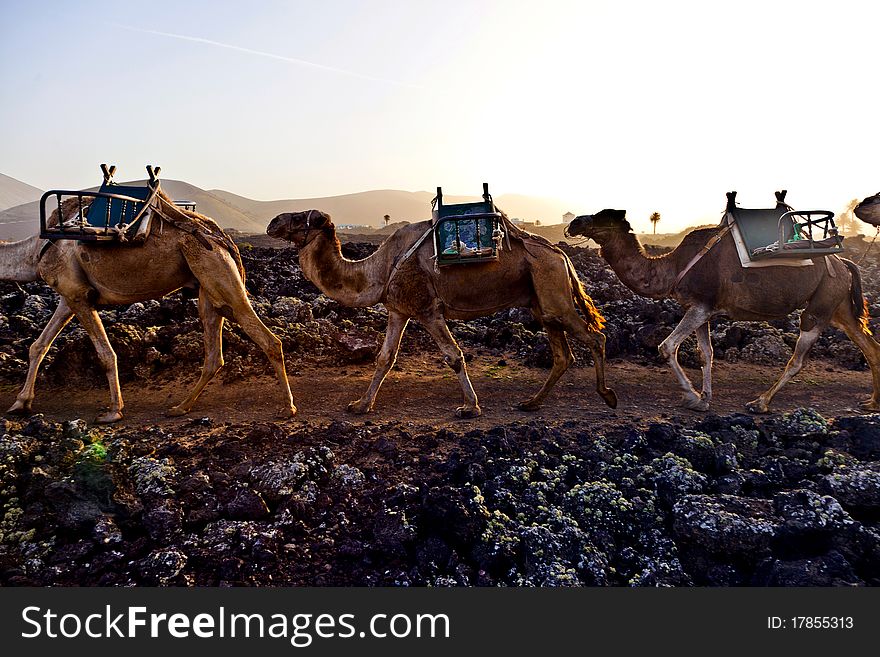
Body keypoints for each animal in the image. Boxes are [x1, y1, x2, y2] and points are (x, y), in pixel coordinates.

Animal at [0, 172, 296, 422]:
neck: (34, 251)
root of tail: (221, 237)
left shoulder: (77, 294)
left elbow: (105, 353)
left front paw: (113, 411)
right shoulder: (68, 296)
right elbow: (38, 346)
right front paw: (20, 403)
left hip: (216, 270)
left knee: (269, 340)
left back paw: (287, 407)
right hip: (208, 288)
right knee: (215, 355)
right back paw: (181, 407)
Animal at [264, 209, 616, 416]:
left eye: (300, 217)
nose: (272, 222)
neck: (379, 269)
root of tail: (561, 254)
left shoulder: (427, 309)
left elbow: (453, 355)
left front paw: (470, 407)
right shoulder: (398, 309)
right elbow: (384, 358)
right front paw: (361, 405)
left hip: (552, 290)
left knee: (596, 338)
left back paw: (607, 395)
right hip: (540, 299)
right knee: (562, 354)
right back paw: (531, 402)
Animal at [564, 205, 880, 412]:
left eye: (603, 216)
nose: (574, 222)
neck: (673, 267)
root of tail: (844, 263)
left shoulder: (701, 306)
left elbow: (667, 347)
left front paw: (691, 397)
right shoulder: (701, 308)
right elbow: (706, 354)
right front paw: (704, 399)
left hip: (820, 305)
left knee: (797, 360)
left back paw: (760, 402)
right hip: (838, 305)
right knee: (869, 345)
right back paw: (871, 402)